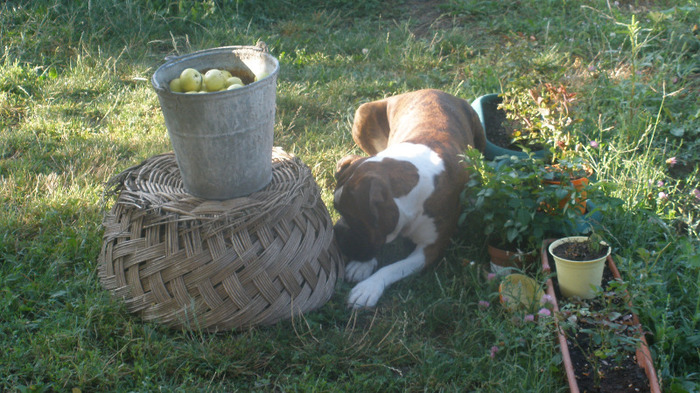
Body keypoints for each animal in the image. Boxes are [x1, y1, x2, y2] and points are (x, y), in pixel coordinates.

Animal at [334, 89, 486, 306]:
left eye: (355, 219)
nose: (336, 231)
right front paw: (363, 265)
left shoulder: (429, 249)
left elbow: (392, 268)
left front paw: (369, 287)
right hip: (363, 113)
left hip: (480, 136)